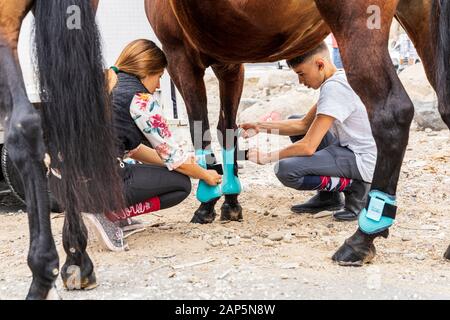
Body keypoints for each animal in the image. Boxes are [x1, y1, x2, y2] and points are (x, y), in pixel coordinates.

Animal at [145, 0, 450, 262]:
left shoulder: (180, 56)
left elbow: (201, 130)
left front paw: (207, 202)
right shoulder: (229, 62)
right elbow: (226, 129)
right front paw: (230, 200)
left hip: (358, 21)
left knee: (391, 113)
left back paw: (362, 238)